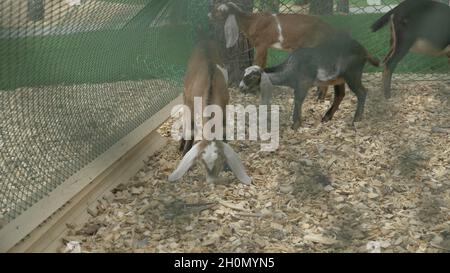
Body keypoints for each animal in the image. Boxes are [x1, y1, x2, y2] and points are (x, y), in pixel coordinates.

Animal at [239, 31, 380, 129]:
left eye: (253, 76)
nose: (240, 87)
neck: (291, 68)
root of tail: (364, 51)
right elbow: (297, 101)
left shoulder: (303, 84)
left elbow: (298, 101)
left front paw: (295, 125)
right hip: (339, 78)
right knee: (340, 94)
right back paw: (327, 117)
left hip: (352, 74)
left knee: (362, 92)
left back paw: (356, 119)